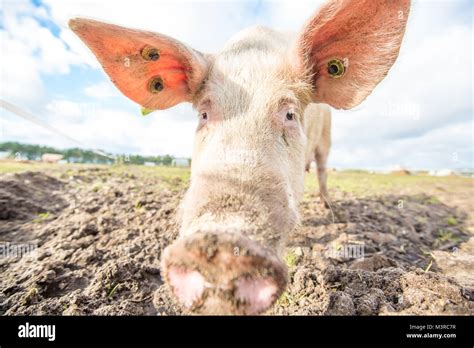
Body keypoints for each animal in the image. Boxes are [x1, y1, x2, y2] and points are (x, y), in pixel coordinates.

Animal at [69, 0, 412, 316]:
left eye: (289, 113)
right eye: (204, 114)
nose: (223, 242)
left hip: (327, 139)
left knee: (323, 170)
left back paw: (333, 211)